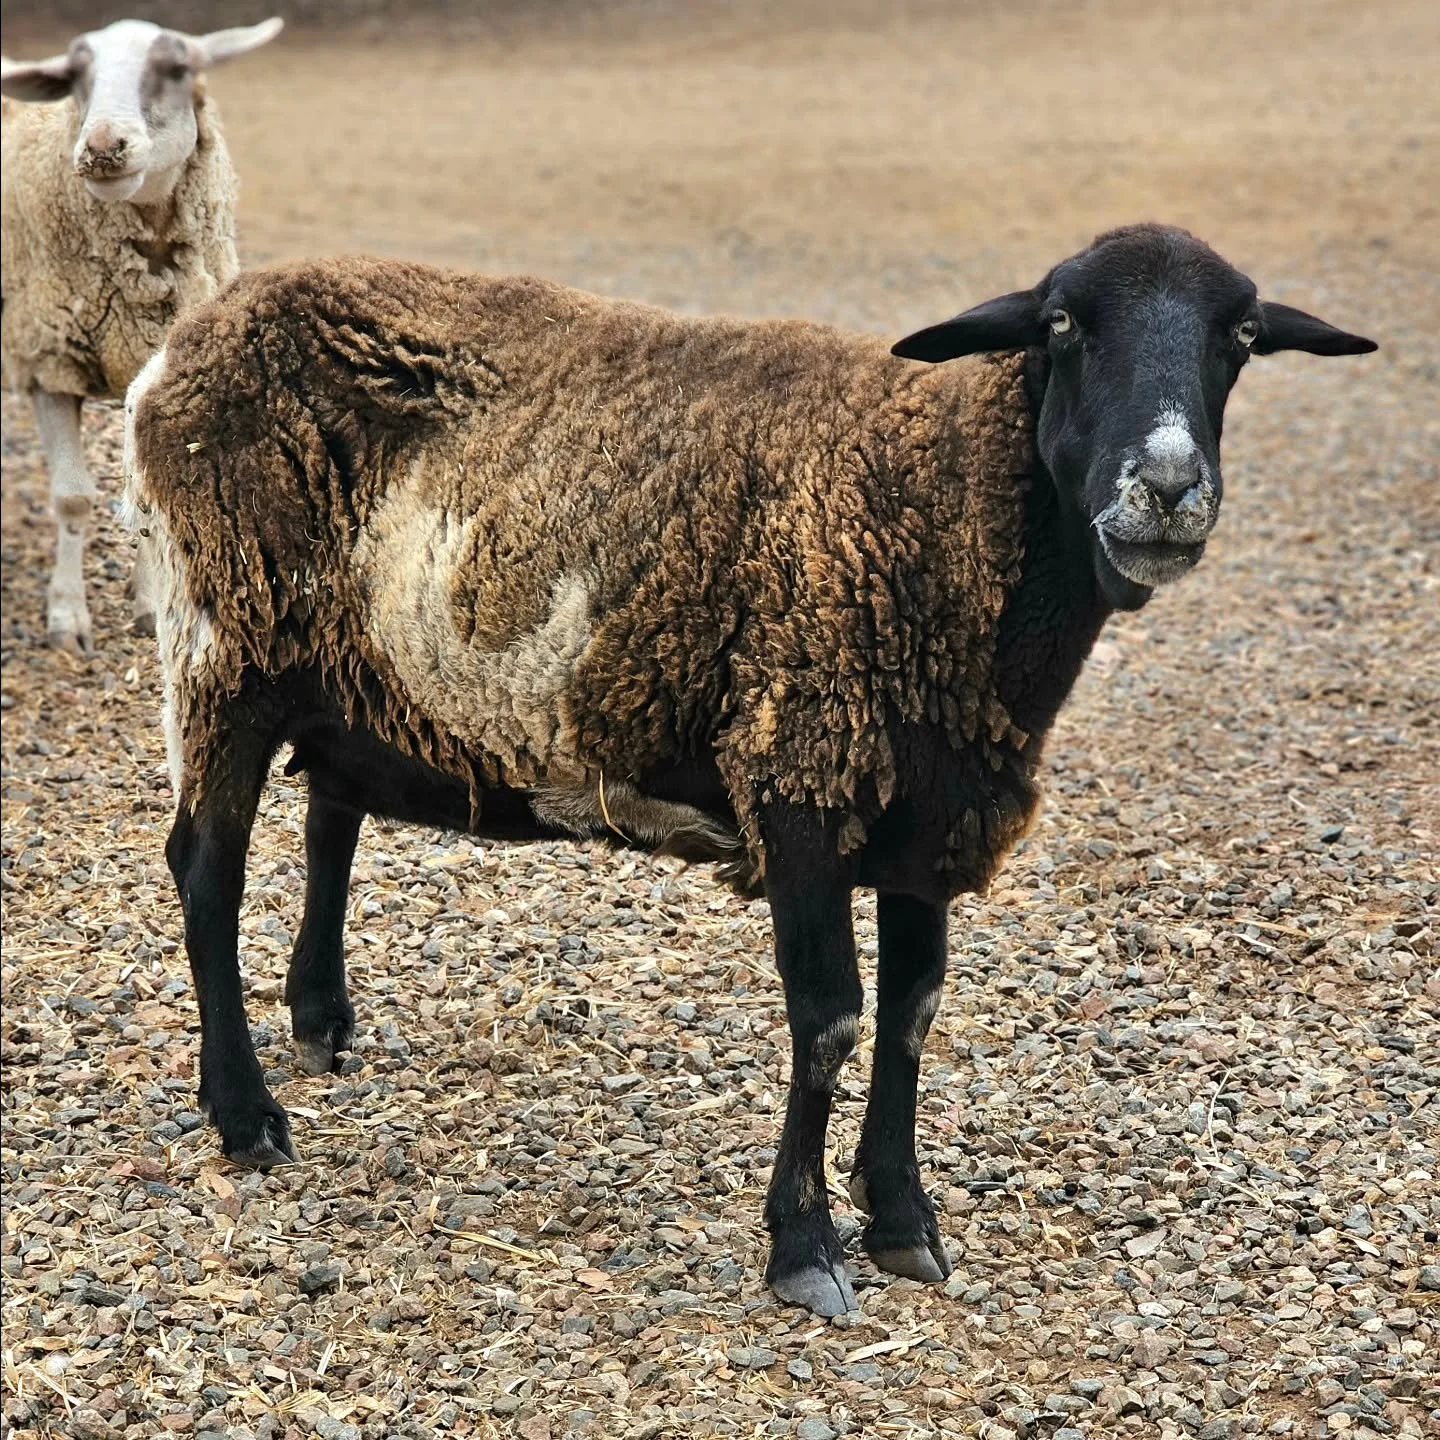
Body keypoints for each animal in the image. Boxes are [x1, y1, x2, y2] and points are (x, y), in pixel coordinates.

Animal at [1, 15, 282, 652]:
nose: (103, 149)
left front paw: (150, 607)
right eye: (75, 76)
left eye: (177, 68)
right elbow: (72, 497)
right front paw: (67, 617)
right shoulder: (49, 360)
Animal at [123, 225, 1377, 1316]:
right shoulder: (803, 772)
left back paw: (321, 1021)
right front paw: (805, 1248)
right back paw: (244, 1113)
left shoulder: (927, 809)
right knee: (206, 868)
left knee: (331, 813)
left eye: (1242, 336)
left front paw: (903, 1219)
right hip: (225, 633)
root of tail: (183, 343)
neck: (941, 506)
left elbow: (913, 1014)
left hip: (339, 667)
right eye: (1063, 323)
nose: (1167, 490)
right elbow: (828, 1023)